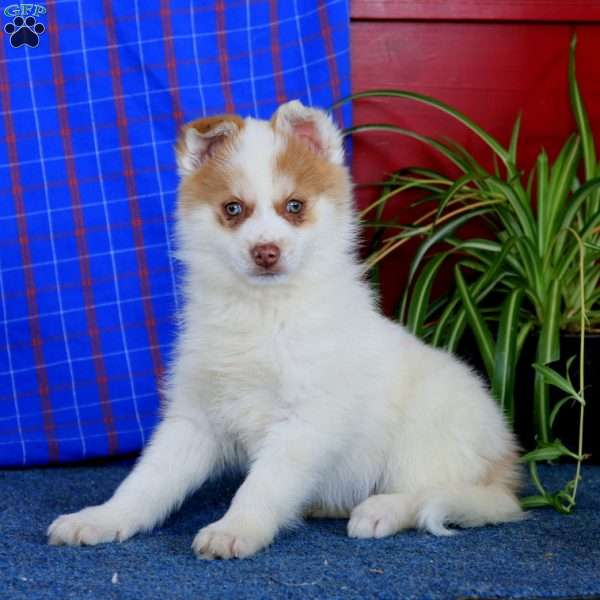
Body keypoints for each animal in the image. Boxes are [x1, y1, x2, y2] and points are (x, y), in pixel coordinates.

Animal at [49, 102, 524, 556]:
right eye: (233, 209)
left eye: (294, 206)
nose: (266, 252)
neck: (263, 313)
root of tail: (506, 462)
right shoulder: (195, 416)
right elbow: (146, 481)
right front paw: (101, 518)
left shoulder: (306, 419)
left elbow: (261, 485)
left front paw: (235, 529)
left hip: (427, 431)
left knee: (430, 491)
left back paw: (381, 510)